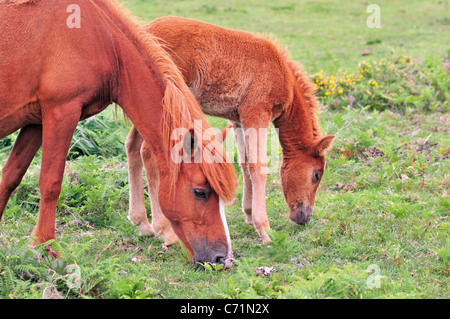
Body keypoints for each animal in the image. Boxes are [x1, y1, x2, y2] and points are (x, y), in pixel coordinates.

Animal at [0, 1, 237, 268]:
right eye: (200, 192)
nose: (223, 258)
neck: (103, 40)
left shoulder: (35, 121)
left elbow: (10, 176)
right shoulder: (61, 113)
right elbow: (50, 183)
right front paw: (47, 248)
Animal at [125, 16, 334, 244]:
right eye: (317, 175)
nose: (305, 217)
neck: (280, 72)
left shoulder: (238, 120)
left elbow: (244, 163)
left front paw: (249, 215)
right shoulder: (256, 112)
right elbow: (258, 166)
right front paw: (265, 230)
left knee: (132, 146)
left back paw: (142, 223)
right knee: (148, 152)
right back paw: (165, 230)